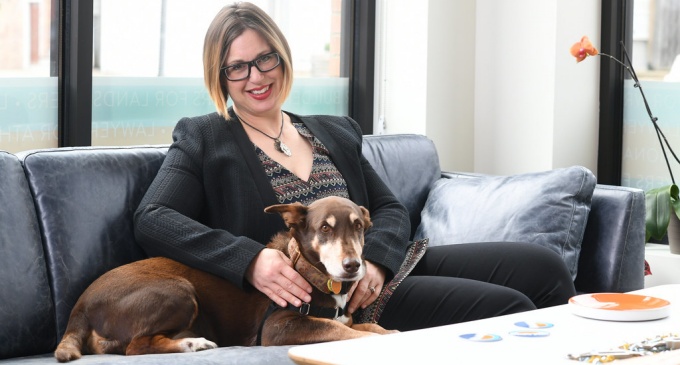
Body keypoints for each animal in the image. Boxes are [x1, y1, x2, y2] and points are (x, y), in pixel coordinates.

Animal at [54, 195, 398, 360]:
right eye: (324, 228)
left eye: (358, 227)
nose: (353, 265)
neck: (310, 269)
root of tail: (80, 307)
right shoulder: (278, 327)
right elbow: (344, 332)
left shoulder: (344, 317)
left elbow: (369, 327)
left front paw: (389, 331)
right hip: (178, 291)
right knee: (135, 347)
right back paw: (192, 344)